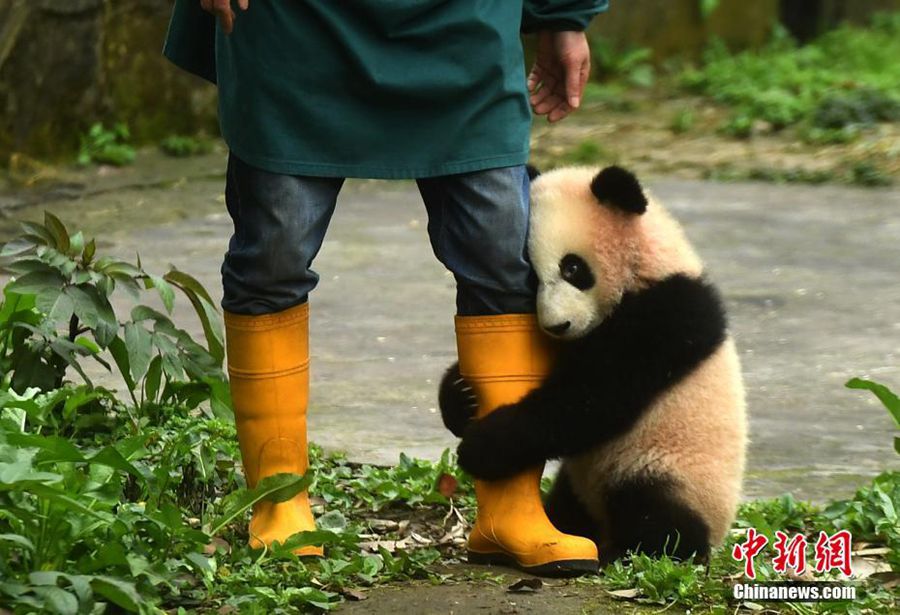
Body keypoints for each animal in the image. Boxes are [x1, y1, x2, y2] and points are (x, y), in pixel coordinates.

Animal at [440, 165, 747, 564]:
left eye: (573, 268)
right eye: (530, 277)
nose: (557, 325)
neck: (645, 266)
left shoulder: (667, 316)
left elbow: (592, 398)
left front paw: (483, 446)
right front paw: (460, 396)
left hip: (668, 468)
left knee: (654, 509)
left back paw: (639, 550)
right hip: (580, 481)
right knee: (569, 504)